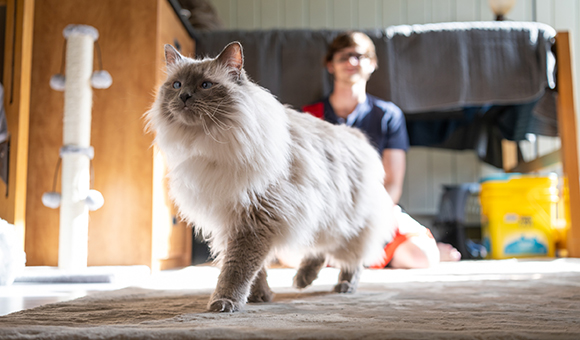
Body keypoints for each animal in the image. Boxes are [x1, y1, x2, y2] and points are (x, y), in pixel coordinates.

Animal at [147, 41, 396, 312]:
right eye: (176, 85)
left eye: (205, 85)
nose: (183, 97)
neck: (208, 143)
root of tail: (355, 134)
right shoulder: (232, 221)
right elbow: (257, 271)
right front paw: (260, 296)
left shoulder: (255, 220)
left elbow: (237, 269)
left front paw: (225, 302)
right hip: (322, 217)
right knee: (320, 248)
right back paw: (303, 279)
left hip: (348, 222)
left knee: (352, 258)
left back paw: (343, 286)